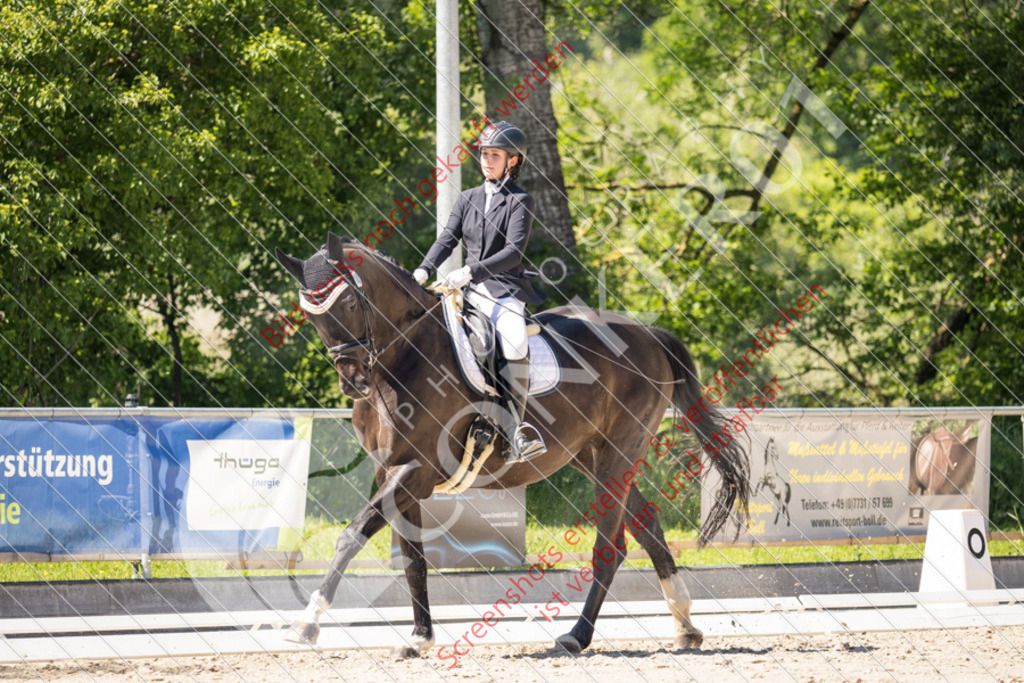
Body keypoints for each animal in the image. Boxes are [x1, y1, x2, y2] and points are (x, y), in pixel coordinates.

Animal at [276, 233, 749, 655]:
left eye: (349, 304)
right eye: (310, 316)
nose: (352, 381)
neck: (403, 359)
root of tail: (648, 333)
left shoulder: (416, 471)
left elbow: (351, 536)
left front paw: (306, 624)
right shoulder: (391, 471)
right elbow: (413, 559)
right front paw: (420, 637)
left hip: (619, 451)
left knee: (609, 547)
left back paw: (577, 636)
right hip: (592, 455)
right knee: (645, 525)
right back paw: (684, 625)